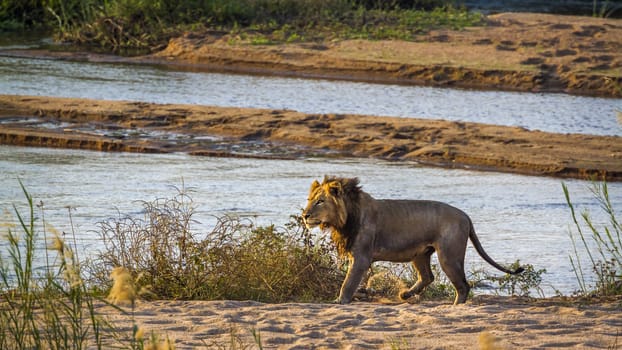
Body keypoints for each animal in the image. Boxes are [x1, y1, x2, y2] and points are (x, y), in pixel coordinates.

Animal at [302, 176, 528, 304]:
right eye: (310, 200)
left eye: (320, 201)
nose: (305, 215)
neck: (344, 219)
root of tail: (466, 216)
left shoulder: (361, 258)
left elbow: (348, 283)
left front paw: (339, 301)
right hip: (420, 254)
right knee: (428, 277)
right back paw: (405, 295)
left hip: (449, 256)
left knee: (463, 285)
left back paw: (455, 306)